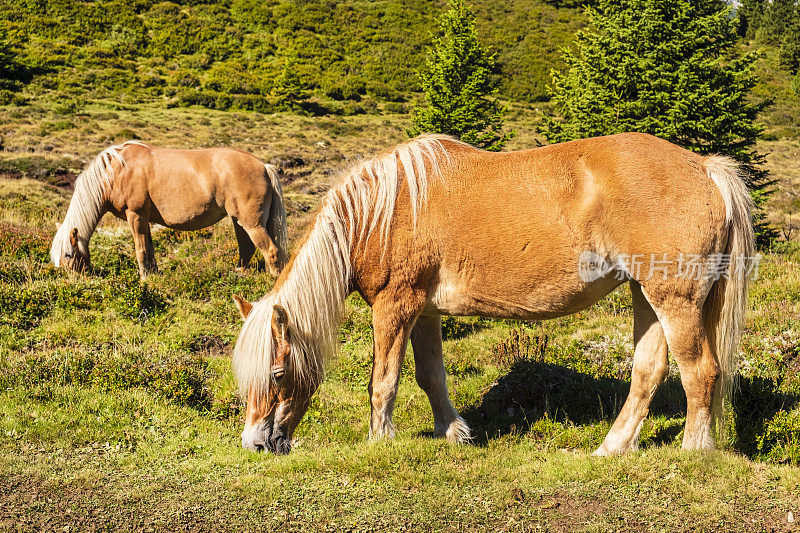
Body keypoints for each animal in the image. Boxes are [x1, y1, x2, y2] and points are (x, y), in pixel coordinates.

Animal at [50, 139, 288, 280]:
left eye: (68, 253)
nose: (69, 280)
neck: (117, 171)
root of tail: (264, 166)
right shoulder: (144, 218)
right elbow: (149, 248)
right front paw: (153, 274)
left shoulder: (135, 215)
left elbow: (140, 249)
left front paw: (144, 278)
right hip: (238, 221)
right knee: (246, 248)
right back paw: (240, 273)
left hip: (251, 223)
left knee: (270, 250)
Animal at [230, 132, 756, 454]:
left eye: (277, 373)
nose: (255, 444)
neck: (378, 212)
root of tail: (706, 169)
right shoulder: (424, 311)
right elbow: (430, 377)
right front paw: (454, 432)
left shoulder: (394, 305)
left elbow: (384, 381)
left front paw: (380, 442)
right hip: (647, 296)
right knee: (649, 372)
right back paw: (611, 448)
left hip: (675, 301)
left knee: (700, 372)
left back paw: (693, 450)